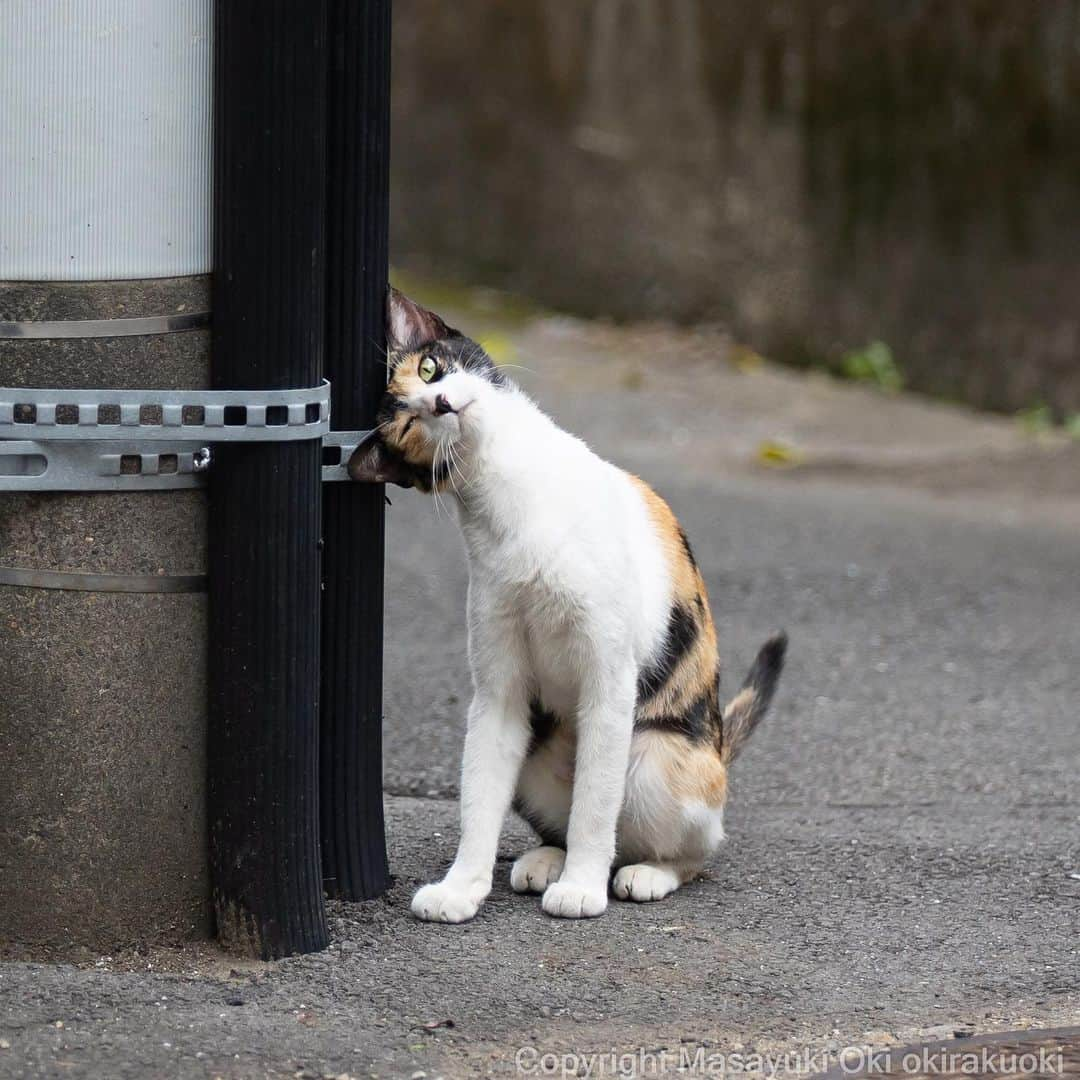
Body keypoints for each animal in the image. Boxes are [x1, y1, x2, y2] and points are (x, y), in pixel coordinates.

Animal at [349, 289, 790, 920]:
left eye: (430, 368)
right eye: (407, 421)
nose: (439, 402)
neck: (511, 492)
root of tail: (720, 747)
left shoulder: (608, 678)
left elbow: (596, 804)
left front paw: (583, 886)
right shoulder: (499, 692)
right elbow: (479, 798)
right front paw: (461, 887)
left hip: (657, 758)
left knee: (692, 845)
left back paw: (645, 872)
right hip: (539, 752)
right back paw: (546, 859)